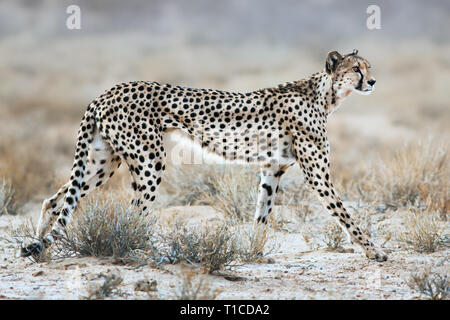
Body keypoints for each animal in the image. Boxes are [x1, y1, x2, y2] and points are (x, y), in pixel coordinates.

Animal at [22, 48, 386, 262]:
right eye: (357, 69)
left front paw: (254, 253)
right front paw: (375, 252)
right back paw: (139, 252)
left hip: (102, 161)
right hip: (150, 160)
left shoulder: (272, 169)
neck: (325, 94)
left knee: (55, 200)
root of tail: (107, 91)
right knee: (132, 214)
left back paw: (39, 246)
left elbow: (261, 216)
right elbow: (346, 215)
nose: (372, 81)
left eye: (369, 67)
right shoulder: (318, 176)